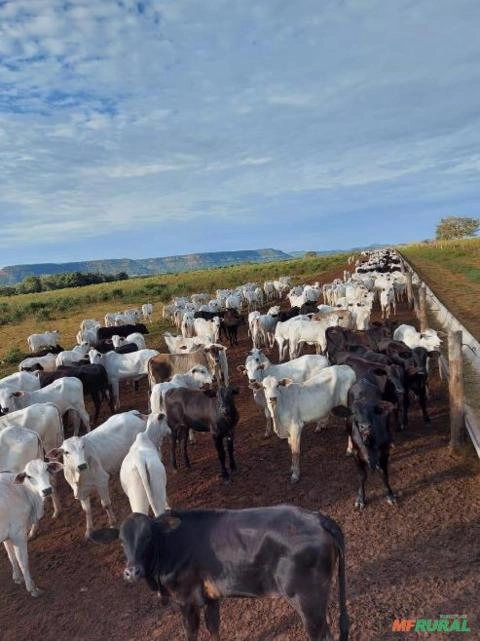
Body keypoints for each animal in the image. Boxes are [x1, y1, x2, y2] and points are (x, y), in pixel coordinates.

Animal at [0, 459, 63, 597]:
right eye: (29, 476)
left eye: (47, 469)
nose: (47, 490)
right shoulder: (18, 533)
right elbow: (23, 561)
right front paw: (32, 588)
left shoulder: (8, 534)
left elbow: (11, 556)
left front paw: (17, 577)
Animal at [90, 505, 349, 641]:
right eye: (121, 540)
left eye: (147, 536)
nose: (132, 572)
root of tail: (316, 517)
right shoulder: (211, 597)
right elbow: (213, 627)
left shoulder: (186, 599)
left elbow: (191, 633)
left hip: (307, 600)